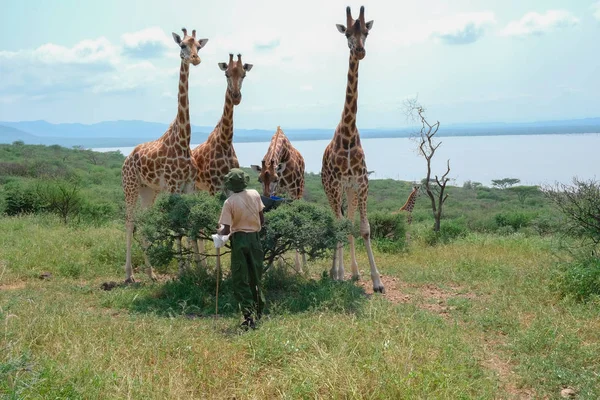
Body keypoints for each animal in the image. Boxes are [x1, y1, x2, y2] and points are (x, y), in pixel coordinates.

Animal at [119, 27, 209, 284]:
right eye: (183, 46)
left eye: (199, 46)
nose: (195, 59)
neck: (183, 140)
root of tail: (126, 158)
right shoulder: (172, 186)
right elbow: (177, 228)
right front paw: (182, 272)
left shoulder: (188, 186)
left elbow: (189, 226)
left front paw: (199, 270)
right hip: (130, 186)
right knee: (129, 222)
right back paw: (129, 274)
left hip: (149, 190)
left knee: (143, 222)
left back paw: (152, 273)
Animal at [190, 53, 251, 195]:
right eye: (226, 74)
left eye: (244, 75)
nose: (236, 97)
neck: (226, 142)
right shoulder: (215, 186)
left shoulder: (229, 185)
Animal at [250, 126, 304, 272]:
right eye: (259, 179)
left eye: (275, 179)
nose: (266, 198)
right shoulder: (278, 195)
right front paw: (274, 267)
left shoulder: (293, 193)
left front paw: (299, 268)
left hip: (299, 190)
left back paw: (304, 263)